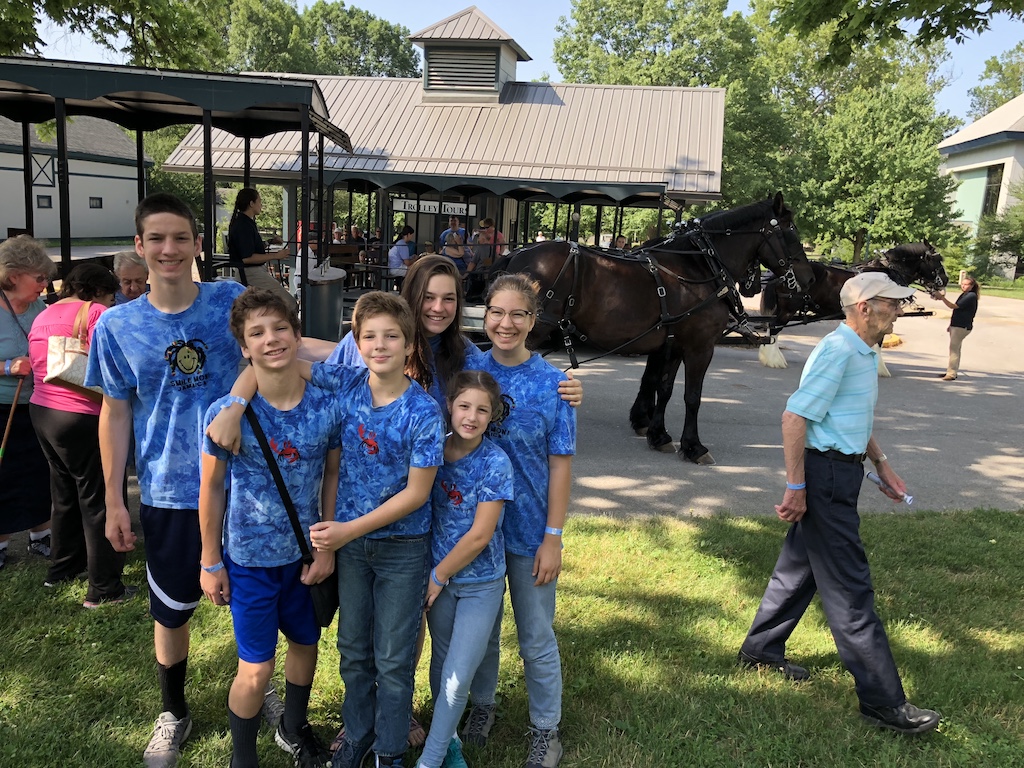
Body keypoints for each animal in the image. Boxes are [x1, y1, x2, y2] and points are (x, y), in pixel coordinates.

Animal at [495, 195, 815, 466]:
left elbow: (664, 388)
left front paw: (658, 434)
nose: (808, 277)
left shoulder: (672, 345)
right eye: (790, 230)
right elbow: (692, 396)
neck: (701, 266)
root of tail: (517, 255)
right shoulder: (700, 347)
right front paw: (694, 446)